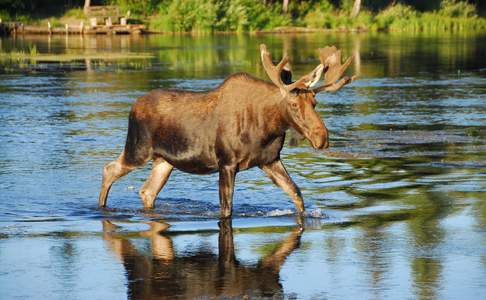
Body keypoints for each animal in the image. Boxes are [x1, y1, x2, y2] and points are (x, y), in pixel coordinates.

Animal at [98, 44, 354, 218]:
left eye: (314, 102)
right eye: (293, 104)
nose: (322, 138)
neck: (267, 128)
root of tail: (133, 106)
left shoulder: (269, 160)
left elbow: (297, 195)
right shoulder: (226, 163)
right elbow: (227, 209)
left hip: (164, 160)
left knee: (147, 191)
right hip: (138, 149)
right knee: (109, 169)